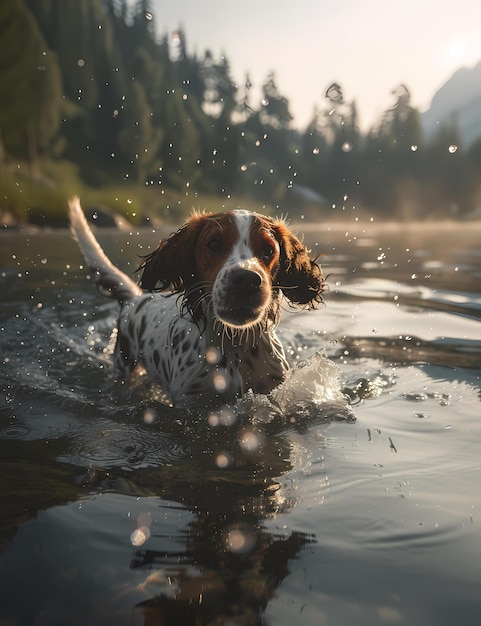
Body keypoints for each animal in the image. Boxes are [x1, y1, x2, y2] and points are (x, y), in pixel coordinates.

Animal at [67, 197, 324, 408]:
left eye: (268, 250)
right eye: (214, 245)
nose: (246, 280)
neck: (235, 346)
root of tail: (136, 297)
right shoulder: (191, 402)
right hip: (123, 366)